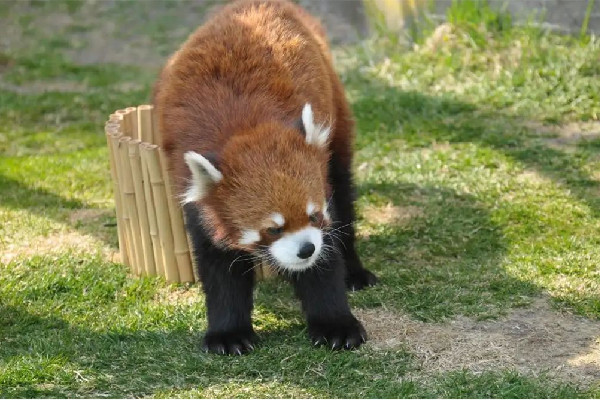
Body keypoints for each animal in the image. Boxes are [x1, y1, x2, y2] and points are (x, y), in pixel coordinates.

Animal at [156, 0, 380, 356]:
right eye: (273, 229)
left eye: (314, 215)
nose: (306, 250)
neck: (246, 126)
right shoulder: (197, 196)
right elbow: (220, 269)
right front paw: (229, 333)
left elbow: (325, 261)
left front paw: (336, 325)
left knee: (344, 192)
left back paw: (354, 271)